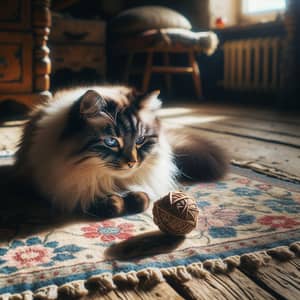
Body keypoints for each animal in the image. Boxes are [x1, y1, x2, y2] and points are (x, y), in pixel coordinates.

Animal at [14, 85, 227, 217]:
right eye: (111, 142)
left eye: (140, 140)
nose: (132, 162)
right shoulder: (70, 187)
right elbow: (96, 199)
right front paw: (114, 204)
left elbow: (142, 197)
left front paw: (132, 201)